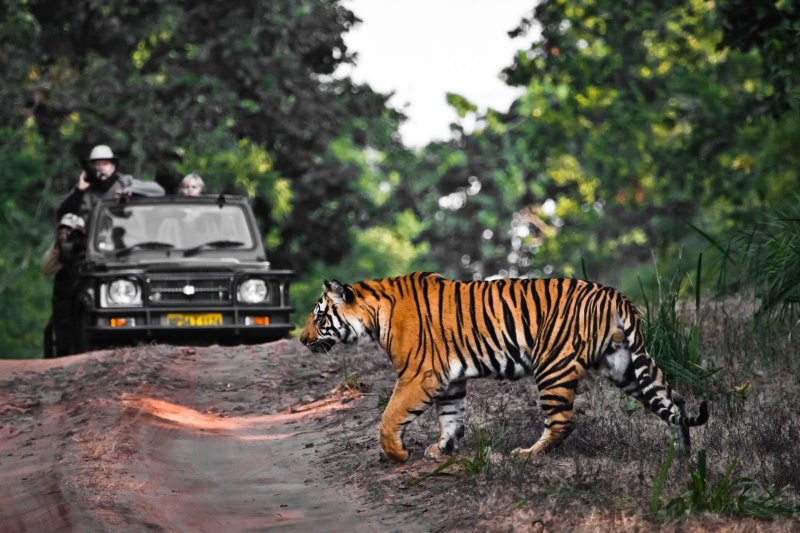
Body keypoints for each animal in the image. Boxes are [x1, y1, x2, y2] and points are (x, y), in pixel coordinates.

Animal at [299, 272, 708, 462]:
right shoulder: (448, 379)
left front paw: (397, 455)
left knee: (563, 421)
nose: (302, 340)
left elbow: (389, 417)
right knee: (674, 401)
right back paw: (683, 454)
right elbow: (451, 417)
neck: (375, 315)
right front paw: (443, 449)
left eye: (319, 317)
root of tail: (615, 295)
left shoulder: (419, 375)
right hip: (624, 366)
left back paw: (528, 455)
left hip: (553, 366)